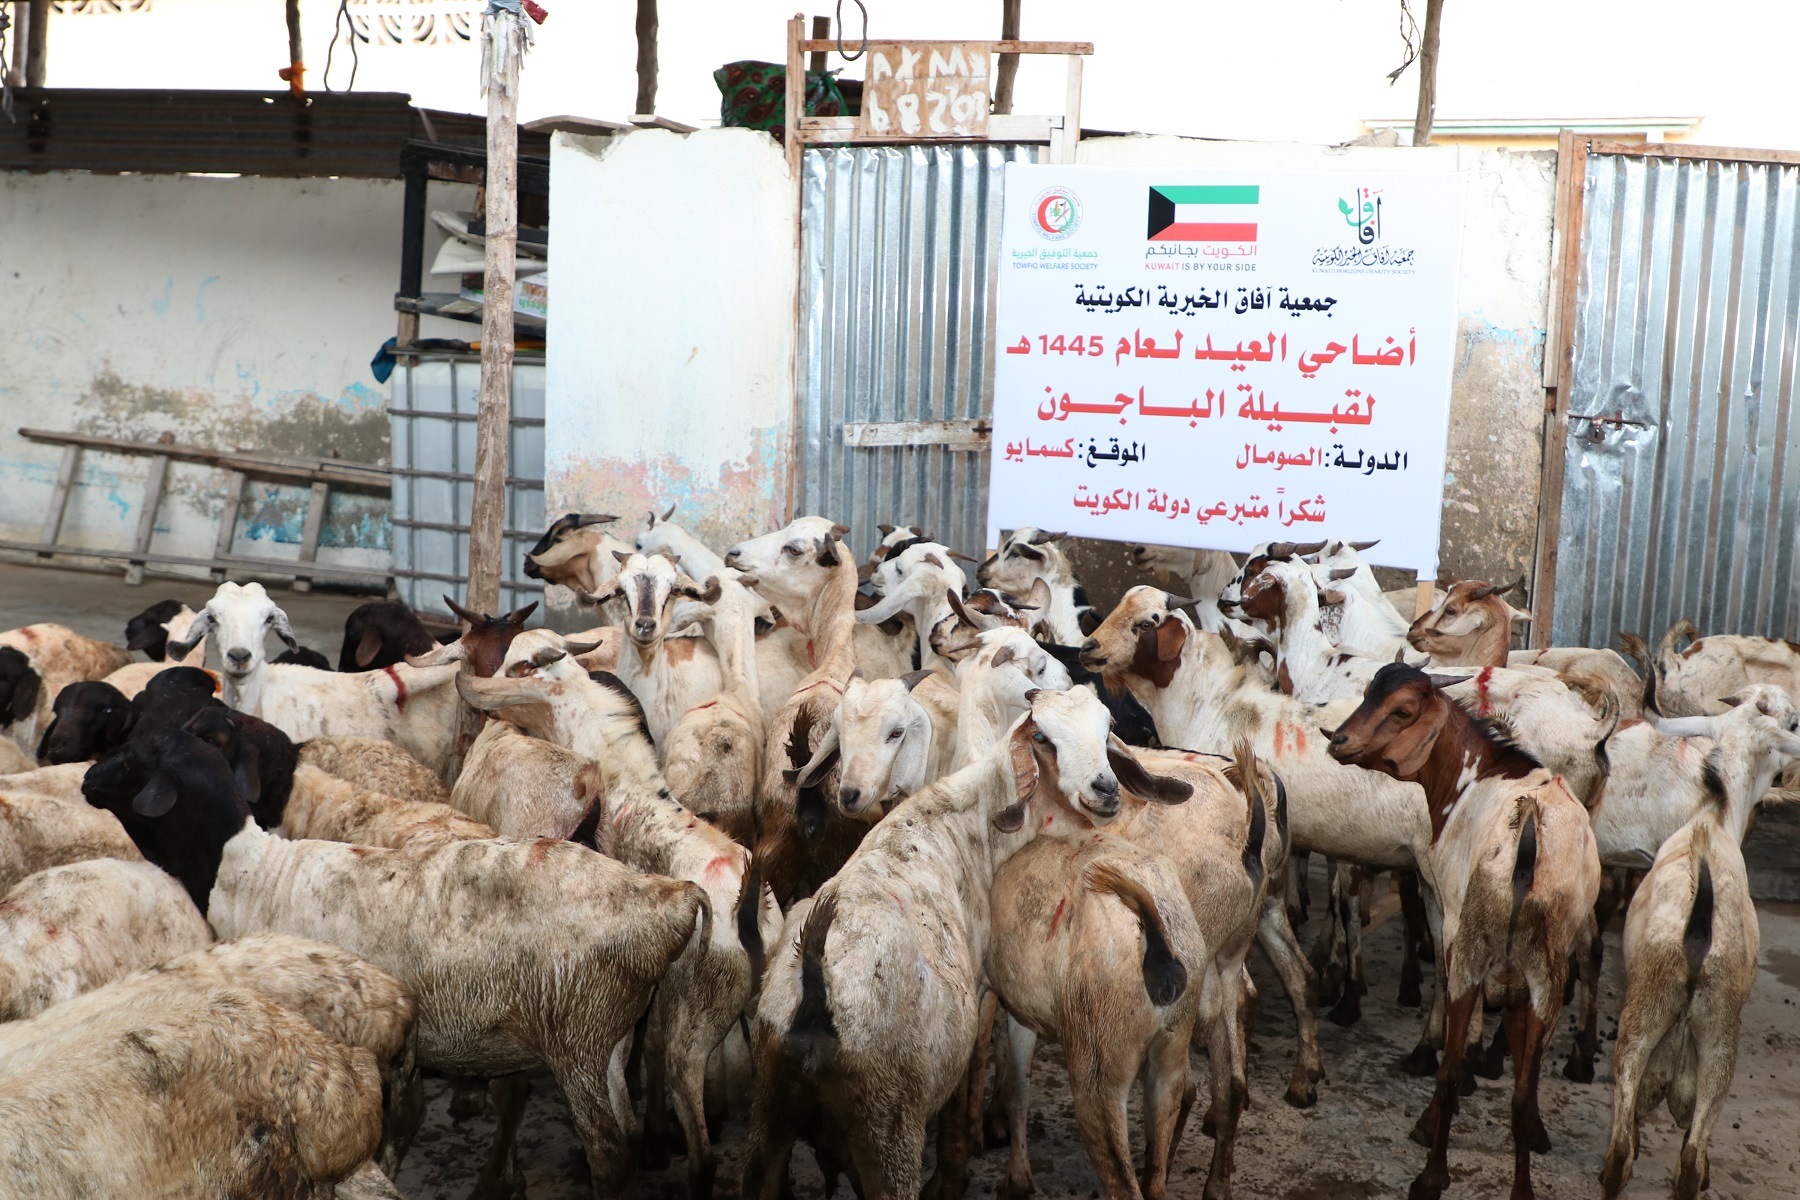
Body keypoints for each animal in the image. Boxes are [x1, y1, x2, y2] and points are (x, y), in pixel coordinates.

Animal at [82, 726, 707, 1197]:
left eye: (134, 757)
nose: (86, 779)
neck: (247, 870)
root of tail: (669, 897)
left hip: (579, 1036)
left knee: (609, 1149)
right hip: (611, 1036)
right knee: (620, 1131)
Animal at [740, 686, 1194, 1200]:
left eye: (1106, 727)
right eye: (1042, 737)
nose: (1106, 789)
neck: (968, 822)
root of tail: (815, 995)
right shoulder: (977, 989)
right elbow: (971, 1069)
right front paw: (954, 1171)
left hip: (770, 1118)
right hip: (888, 1126)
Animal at [1328, 663, 1600, 1200]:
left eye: (1403, 710)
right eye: (1369, 691)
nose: (1339, 740)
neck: (1476, 774)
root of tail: (1529, 823)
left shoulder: (1448, 919)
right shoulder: (1520, 980)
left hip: (1473, 952)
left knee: (1451, 1067)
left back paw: (1431, 1173)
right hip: (1546, 969)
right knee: (1521, 1090)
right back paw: (1521, 1188)